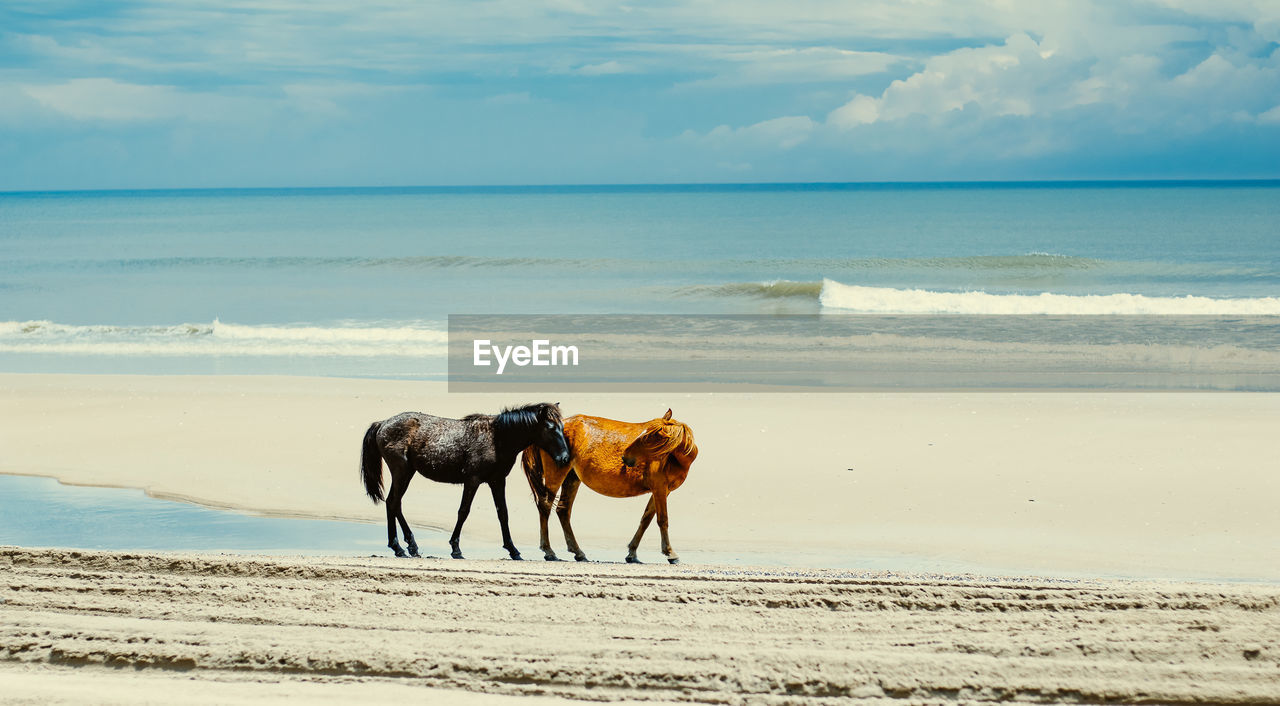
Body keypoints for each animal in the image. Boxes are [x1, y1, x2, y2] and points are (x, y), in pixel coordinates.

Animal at [355, 401, 565, 557]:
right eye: (550, 427)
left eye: (562, 427)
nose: (564, 457)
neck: (497, 438)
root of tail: (382, 423)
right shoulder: (472, 480)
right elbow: (463, 511)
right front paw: (455, 547)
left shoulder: (497, 481)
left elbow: (503, 513)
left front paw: (513, 550)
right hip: (402, 472)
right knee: (393, 502)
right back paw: (404, 546)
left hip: (406, 473)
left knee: (393, 503)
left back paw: (402, 546)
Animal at [522, 409, 696, 562]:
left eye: (648, 437)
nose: (625, 457)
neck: (672, 458)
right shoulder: (659, 488)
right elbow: (662, 520)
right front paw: (670, 553)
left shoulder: (662, 490)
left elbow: (646, 519)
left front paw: (632, 553)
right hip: (556, 475)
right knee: (545, 506)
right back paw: (549, 551)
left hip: (572, 478)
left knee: (563, 510)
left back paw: (578, 552)